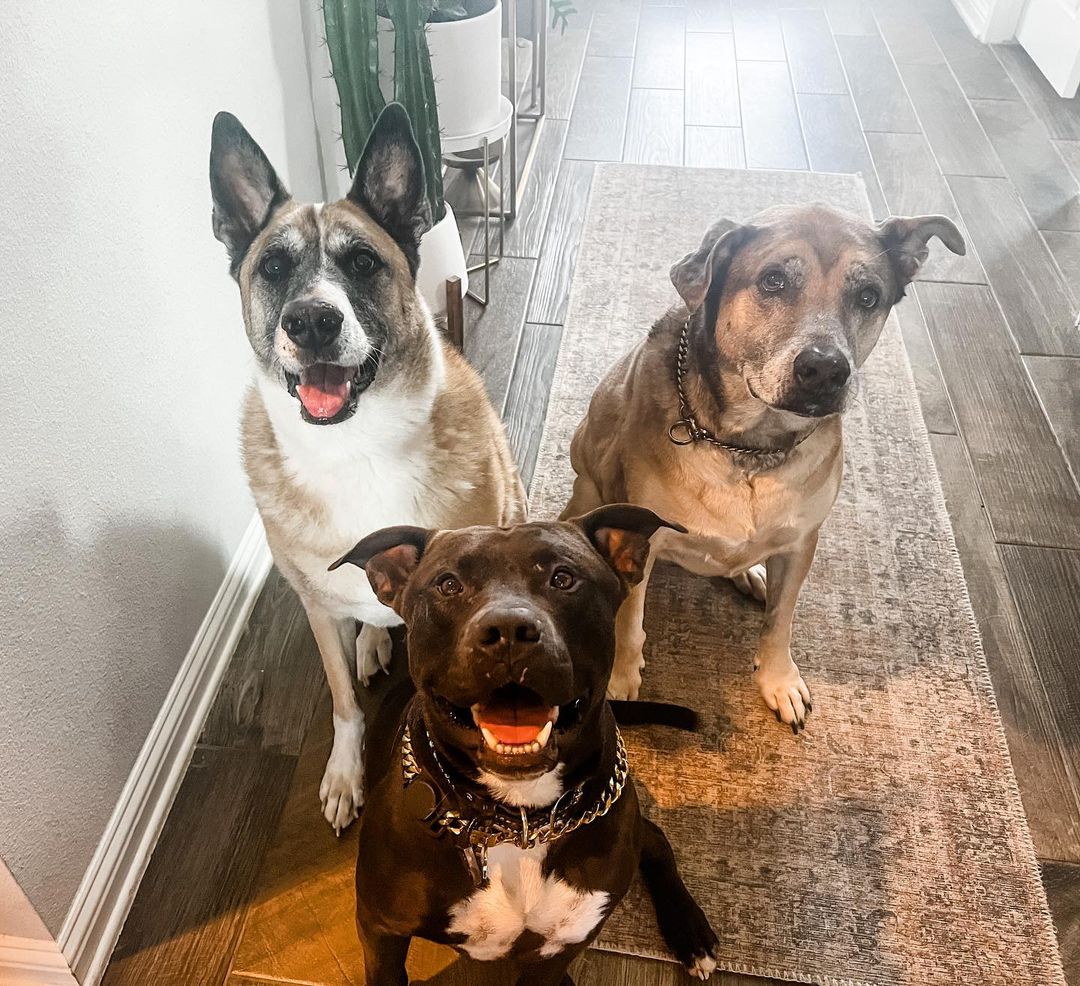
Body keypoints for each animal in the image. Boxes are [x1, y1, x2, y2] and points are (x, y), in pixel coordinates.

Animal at [208, 103, 524, 825]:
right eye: (272, 267)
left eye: (361, 261)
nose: (311, 322)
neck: (356, 448)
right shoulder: (316, 611)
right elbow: (344, 703)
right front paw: (345, 772)